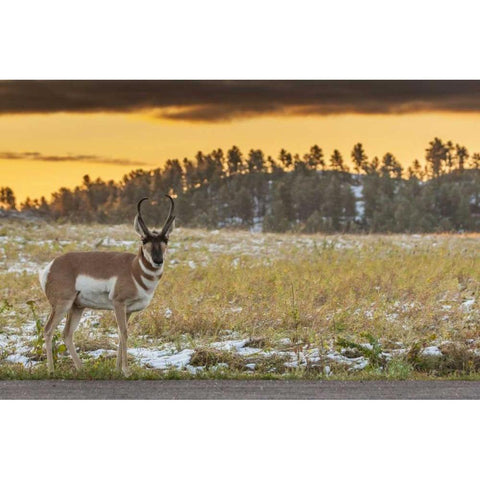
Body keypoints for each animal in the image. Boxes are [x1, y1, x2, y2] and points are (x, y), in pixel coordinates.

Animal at [39, 195, 174, 376]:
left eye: (165, 239)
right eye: (144, 239)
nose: (158, 260)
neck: (133, 269)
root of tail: (52, 265)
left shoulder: (128, 310)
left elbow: (121, 334)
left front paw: (117, 369)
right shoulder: (118, 304)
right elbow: (124, 333)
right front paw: (126, 371)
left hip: (77, 307)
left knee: (67, 334)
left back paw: (82, 368)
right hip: (62, 305)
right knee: (48, 330)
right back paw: (52, 371)